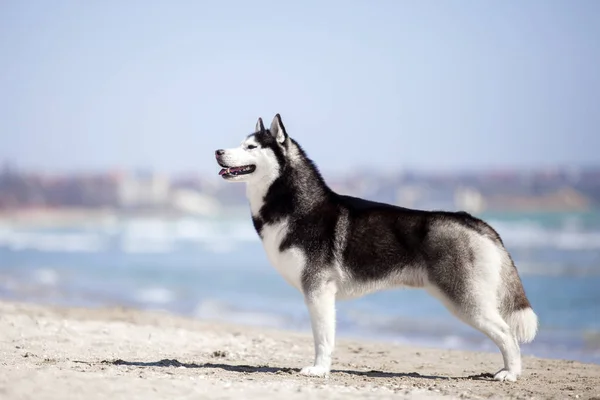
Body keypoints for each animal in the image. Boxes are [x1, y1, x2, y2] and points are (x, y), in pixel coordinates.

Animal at [216, 114, 540, 382]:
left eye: (251, 146)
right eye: (241, 144)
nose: (217, 151)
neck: (296, 205)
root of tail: (475, 221)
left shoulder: (318, 290)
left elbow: (322, 338)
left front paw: (319, 369)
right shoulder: (321, 293)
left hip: (467, 301)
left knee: (507, 334)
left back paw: (510, 373)